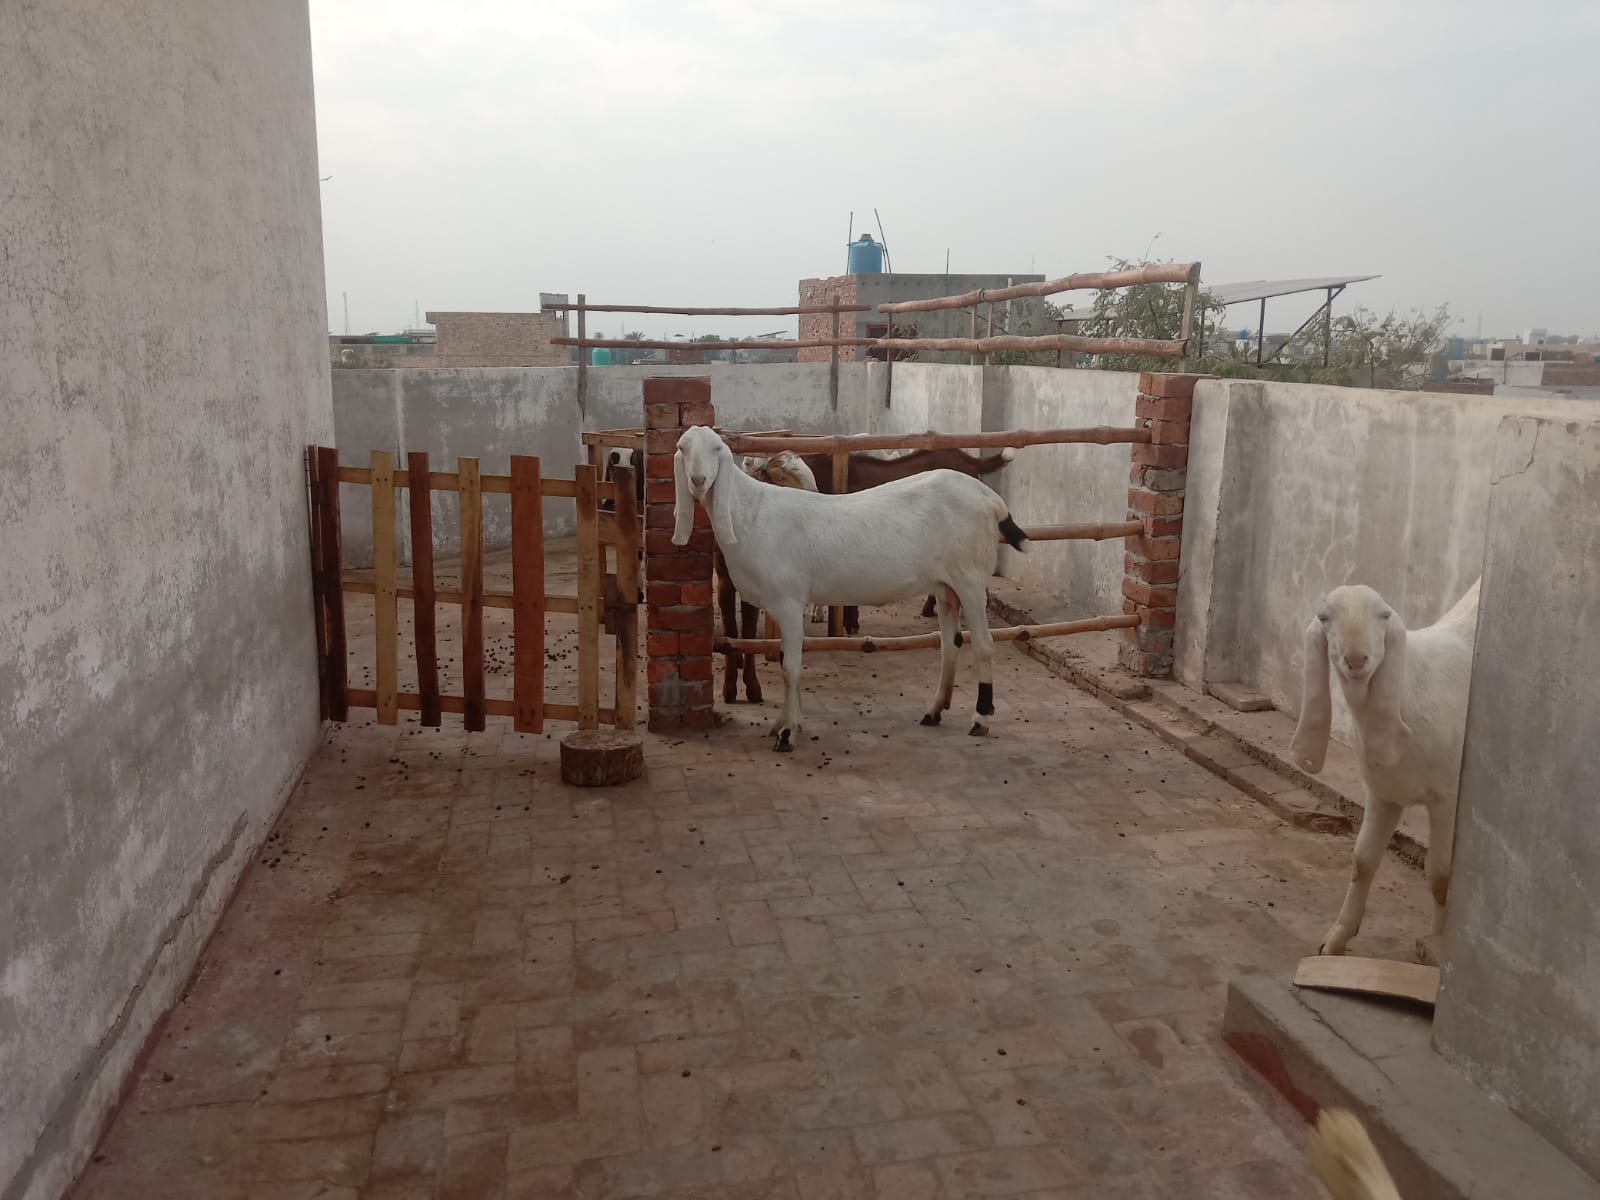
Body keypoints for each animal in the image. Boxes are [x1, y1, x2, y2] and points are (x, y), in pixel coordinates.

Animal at [673, 424, 1029, 751]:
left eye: (717, 449)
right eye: (682, 448)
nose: (698, 481)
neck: (752, 512)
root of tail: (992, 500)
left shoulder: (788, 601)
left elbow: (790, 668)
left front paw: (787, 733)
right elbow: (789, 662)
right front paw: (784, 723)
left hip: (970, 578)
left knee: (983, 645)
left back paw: (981, 718)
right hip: (946, 586)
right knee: (950, 645)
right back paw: (934, 711)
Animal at [1288, 579, 1480, 956]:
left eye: (1384, 615)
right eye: (1324, 617)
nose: (1356, 659)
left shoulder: (1448, 798)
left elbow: (1440, 875)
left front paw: (1435, 943)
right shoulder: (1383, 793)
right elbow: (1362, 861)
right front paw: (1335, 939)